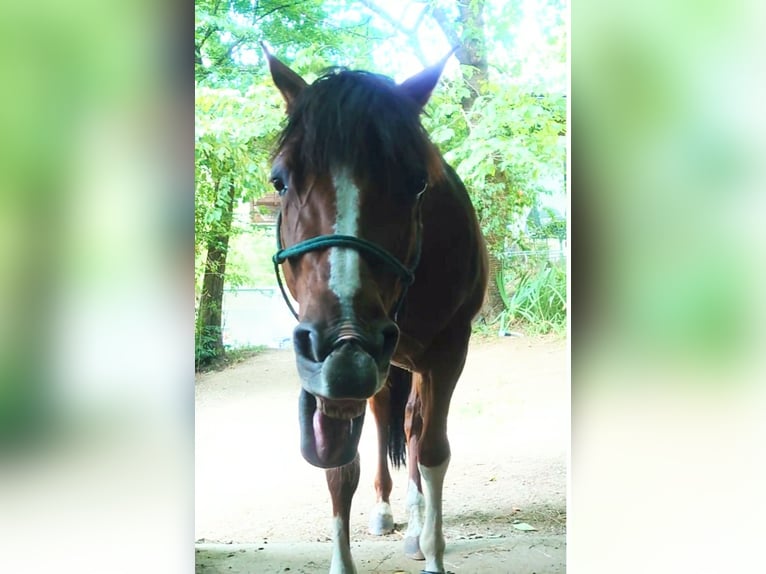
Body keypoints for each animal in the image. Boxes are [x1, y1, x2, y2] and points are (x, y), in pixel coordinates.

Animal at [263, 44, 488, 574]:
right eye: (280, 181)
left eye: (417, 184)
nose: (344, 343)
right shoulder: (335, 374)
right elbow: (341, 467)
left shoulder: (448, 353)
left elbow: (432, 452)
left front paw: (433, 554)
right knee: (390, 420)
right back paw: (389, 510)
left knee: (412, 427)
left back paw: (417, 524)